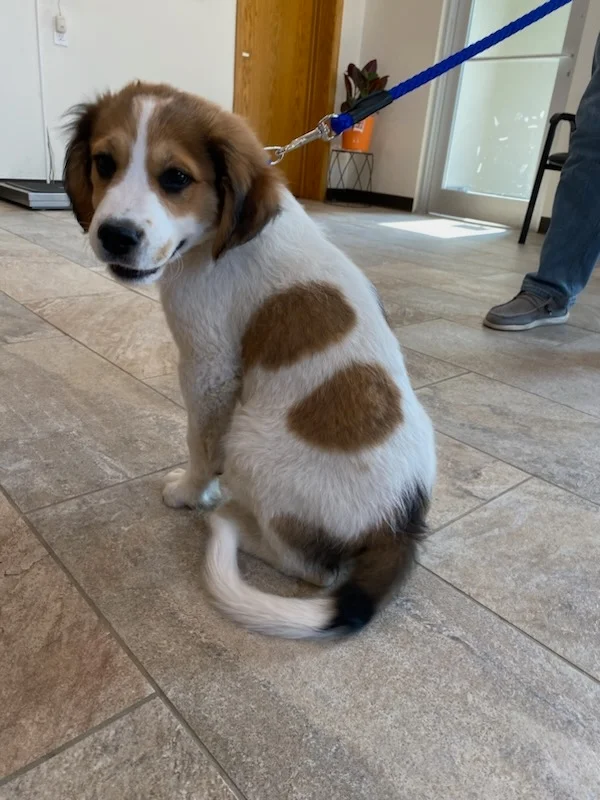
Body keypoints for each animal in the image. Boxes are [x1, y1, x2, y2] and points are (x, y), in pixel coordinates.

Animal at [65, 83, 436, 636]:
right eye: (103, 163)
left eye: (176, 178)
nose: (115, 235)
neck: (217, 241)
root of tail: (399, 522)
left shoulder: (208, 368)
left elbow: (201, 444)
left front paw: (191, 492)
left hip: (250, 444)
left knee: (313, 568)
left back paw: (233, 522)